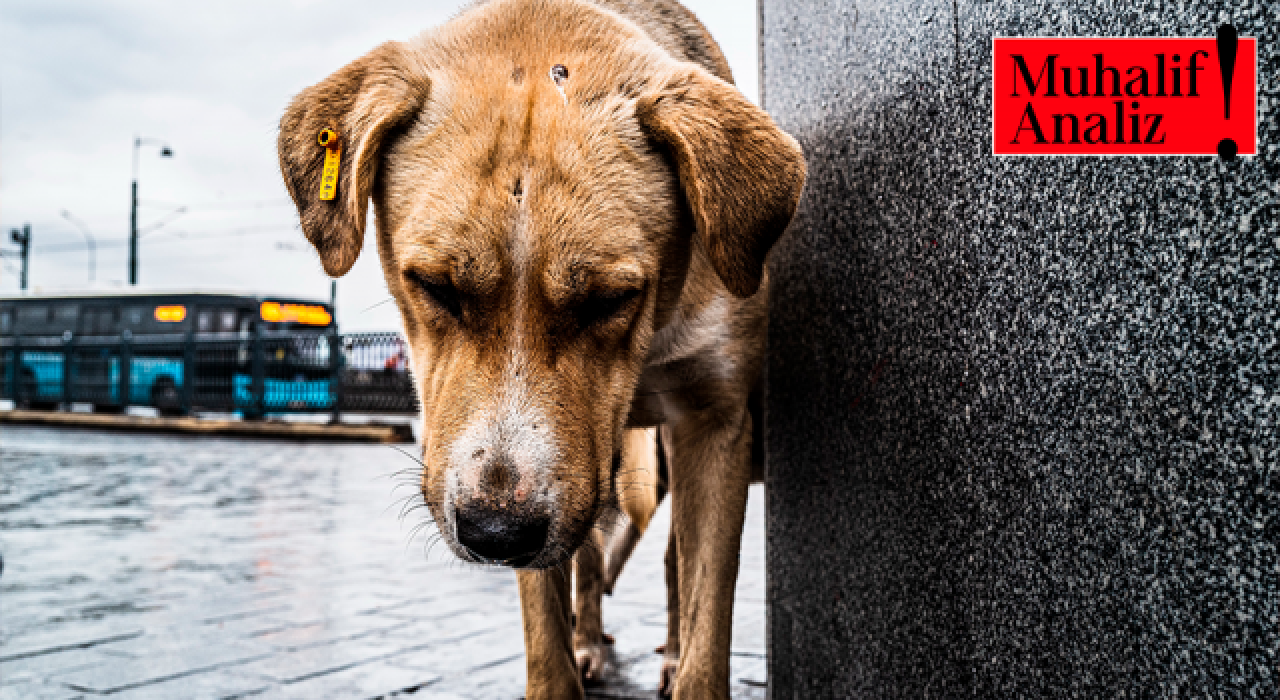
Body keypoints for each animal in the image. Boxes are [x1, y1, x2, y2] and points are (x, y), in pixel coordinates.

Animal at [275, 2, 803, 696]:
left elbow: (707, 614)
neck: (649, 339)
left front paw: (688, 659)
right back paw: (591, 641)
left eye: (609, 298)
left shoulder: (714, 422)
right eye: (434, 286)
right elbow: (547, 630)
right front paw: (566, 649)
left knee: (665, 560)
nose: (496, 534)